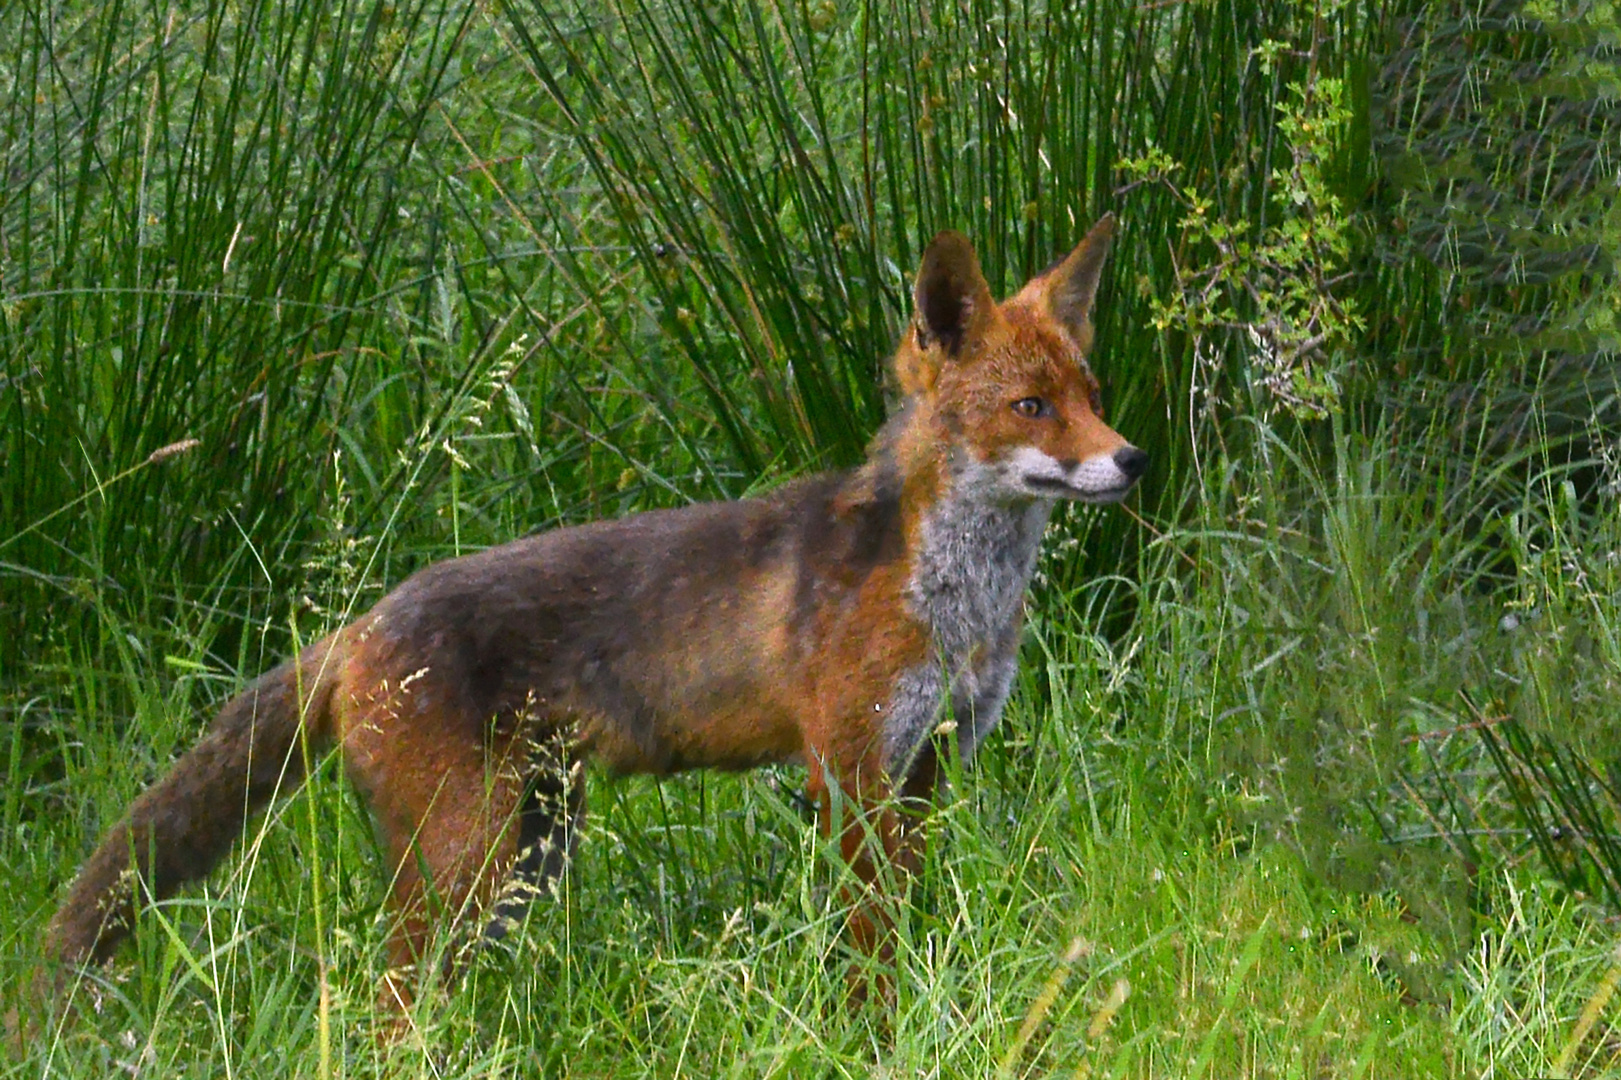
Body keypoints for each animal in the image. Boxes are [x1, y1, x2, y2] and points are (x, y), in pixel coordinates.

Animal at [41, 217, 1154, 1018]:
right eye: (1030, 408)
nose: (1133, 458)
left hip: (526, 857)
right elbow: (868, 955)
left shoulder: (923, 769)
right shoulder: (845, 771)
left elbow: (914, 931)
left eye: (1092, 392)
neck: (954, 599)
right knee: (380, 1002)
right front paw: (878, 1037)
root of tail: (360, 625)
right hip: (469, 864)